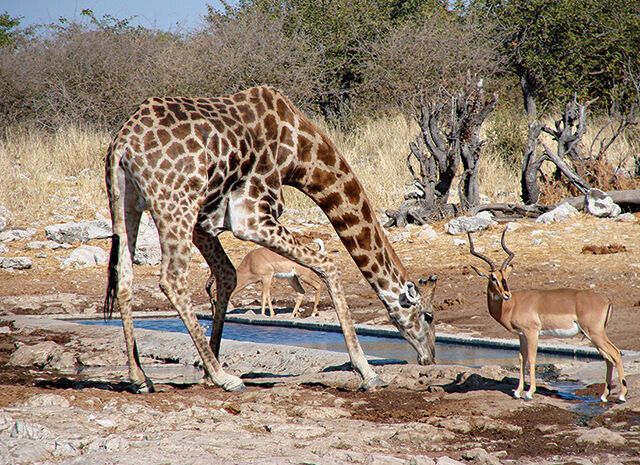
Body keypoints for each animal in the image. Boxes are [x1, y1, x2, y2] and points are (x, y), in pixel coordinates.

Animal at [105, 84, 438, 392]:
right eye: (429, 316)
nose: (430, 357)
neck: (299, 153)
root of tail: (122, 144)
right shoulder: (251, 217)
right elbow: (328, 264)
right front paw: (367, 372)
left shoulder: (206, 220)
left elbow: (227, 274)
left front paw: (206, 371)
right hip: (175, 204)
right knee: (172, 278)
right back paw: (226, 378)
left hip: (126, 203)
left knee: (124, 276)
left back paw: (140, 377)